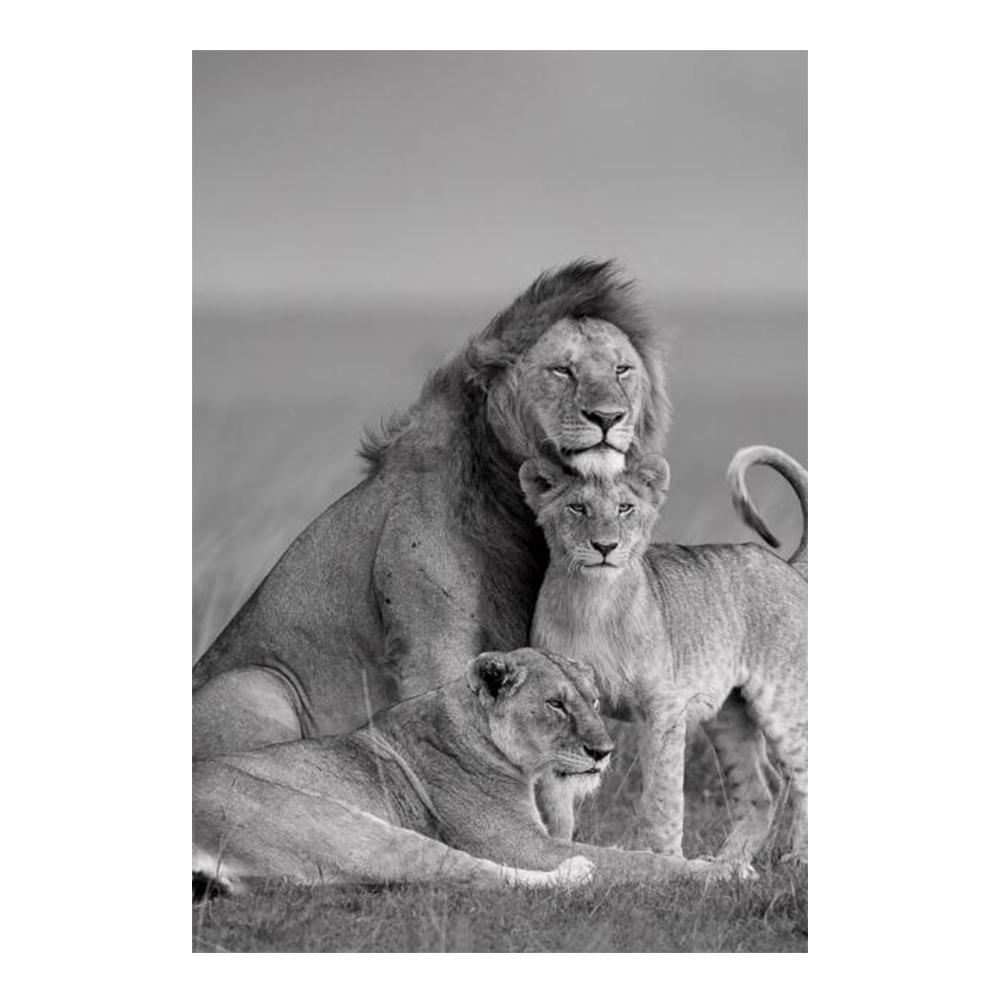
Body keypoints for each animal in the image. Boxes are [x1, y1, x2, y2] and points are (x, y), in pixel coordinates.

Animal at [193, 260, 671, 758]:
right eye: (562, 370)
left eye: (622, 370)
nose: (608, 417)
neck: (515, 500)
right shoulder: (434, 647)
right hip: (259, 685)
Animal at [194, 648, 732, 894]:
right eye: (556, 704)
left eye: (594, 701)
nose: (603, 752)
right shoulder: (520, 843)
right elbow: (637, 862)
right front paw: (720, 870)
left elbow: (629, 851)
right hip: (334, 822)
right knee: (468, 872)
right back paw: (575, 873)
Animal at [520, 447, 807, 865]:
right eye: (577, 507)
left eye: (624, 508)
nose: (605, 547)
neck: (592, 602)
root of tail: (786, 565)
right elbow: (555, 801)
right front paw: (558, 853)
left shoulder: (664, 707)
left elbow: (662, 799)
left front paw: (669, 863)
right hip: (728, 716)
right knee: (761, 789)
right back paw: (727, 863)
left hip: (783, 700)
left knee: (804, 774)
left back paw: (798, 858)